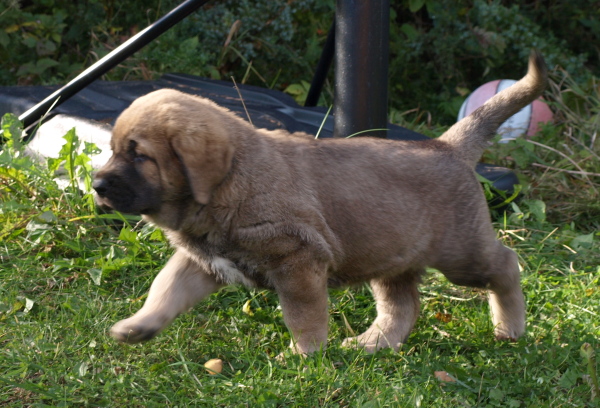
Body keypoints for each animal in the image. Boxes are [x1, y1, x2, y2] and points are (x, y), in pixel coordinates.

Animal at [94, 53, 548, 354]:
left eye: (139, 155)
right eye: (114, 150)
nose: (97, 184)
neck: (230, 181)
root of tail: (447, 146)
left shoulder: (297, 259)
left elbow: (303, 315)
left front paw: (304, 355)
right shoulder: (202, 262)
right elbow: (164, 290)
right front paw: (137, 327)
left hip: (462, 254)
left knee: (505, 265)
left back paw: (510, 327)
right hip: (392, 258)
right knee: (403, 306)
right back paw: (372, 343)